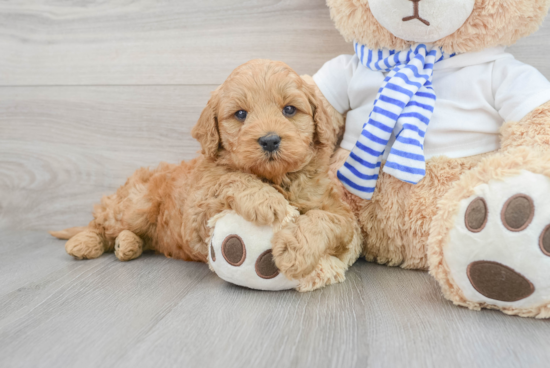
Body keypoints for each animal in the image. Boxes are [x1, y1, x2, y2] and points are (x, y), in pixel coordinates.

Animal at [50, 59, 362, 290]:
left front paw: (295, 251)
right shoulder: (197, 216)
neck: (276, 178)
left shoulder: (341, 214)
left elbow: (326, 220)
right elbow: (229, 177)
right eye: (240, 114)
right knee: (102, 221)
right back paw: (85, 242)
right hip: (136, 206)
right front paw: (266, 201)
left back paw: (127, 244)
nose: (270, 140)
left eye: (289, 109)